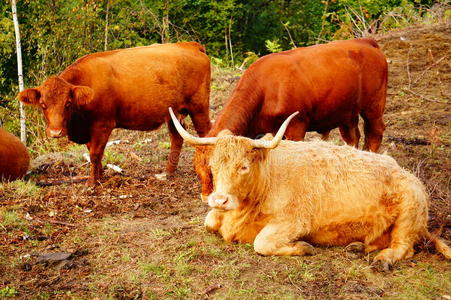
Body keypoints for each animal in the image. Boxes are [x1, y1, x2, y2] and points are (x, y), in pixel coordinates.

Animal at [18, 41, 213, 184]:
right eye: (43, 104)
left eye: (67, 103)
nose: (55, 132)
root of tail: (189, 44)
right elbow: (93, 153)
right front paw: (100, 176)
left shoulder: (103, 124)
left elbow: (95, 153)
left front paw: (91, 183)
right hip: (173, 113)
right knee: (177, 138)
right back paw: (168, 173)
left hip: (199, 107)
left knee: (205, 132)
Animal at [170, 109, 451, 270]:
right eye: (214, 165)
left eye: (243, 167)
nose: (220, 199)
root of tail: (407, 174)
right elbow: (209, 221)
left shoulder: (294, 222)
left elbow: (261, 242)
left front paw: (304, 247)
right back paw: (358, 247)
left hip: (408, 214)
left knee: (404, 247)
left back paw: (383, 259)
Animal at [194, 38, 388, 202]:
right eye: (199, 169)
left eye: (212, 170)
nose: (206, 198)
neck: (265, 89)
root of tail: (365, 42)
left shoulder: (296, 126)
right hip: (347, 113)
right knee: (353, 138)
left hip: (373, 107)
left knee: (374, 133)